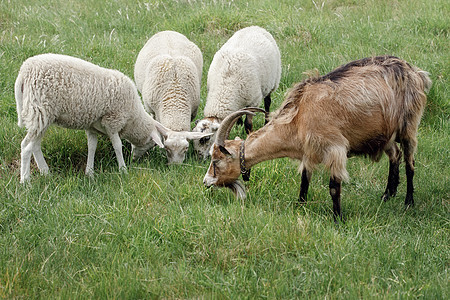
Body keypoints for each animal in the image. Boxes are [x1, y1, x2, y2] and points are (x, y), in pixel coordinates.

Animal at [16, 53, 167, 183]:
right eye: (153, 143)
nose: (135, 160)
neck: (133, 116)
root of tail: (23, 71)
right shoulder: (113, 121)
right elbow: (117, 146)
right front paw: (123, 169)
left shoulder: (92, 126)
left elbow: (92, 147)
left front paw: (89, 172)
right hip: (39, 110)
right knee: (26, 146)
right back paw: (25, 180)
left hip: (42, 117)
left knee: (35, 145)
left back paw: (45, 172)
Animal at [134, 30, 211, 164]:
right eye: (166, 149)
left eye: (186, 149)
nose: (176, 166)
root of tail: (167, 31)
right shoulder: (155, 110)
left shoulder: (192, 112)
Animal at [191, 26, 282, 161]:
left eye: (206, 138)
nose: (198, 158)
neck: (225, 89)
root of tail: (254, 27)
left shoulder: (253, 100)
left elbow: (248, 124)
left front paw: (249, 136)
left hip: (272, 83)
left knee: (267, 102)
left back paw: (266, 121)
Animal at [202, 55, 430, 220]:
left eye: (216, 161)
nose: (205, 182)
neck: (299, 115)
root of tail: (416, 72)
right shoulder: (308, 152)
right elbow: (304, 180)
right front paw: (300, 205)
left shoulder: (335, 148)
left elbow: (334, 187)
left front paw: (337, 218)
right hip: (385, 135)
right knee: (395, 155)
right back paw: (387, 194)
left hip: (409, 125)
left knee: (410, 162)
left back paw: (408, 201)